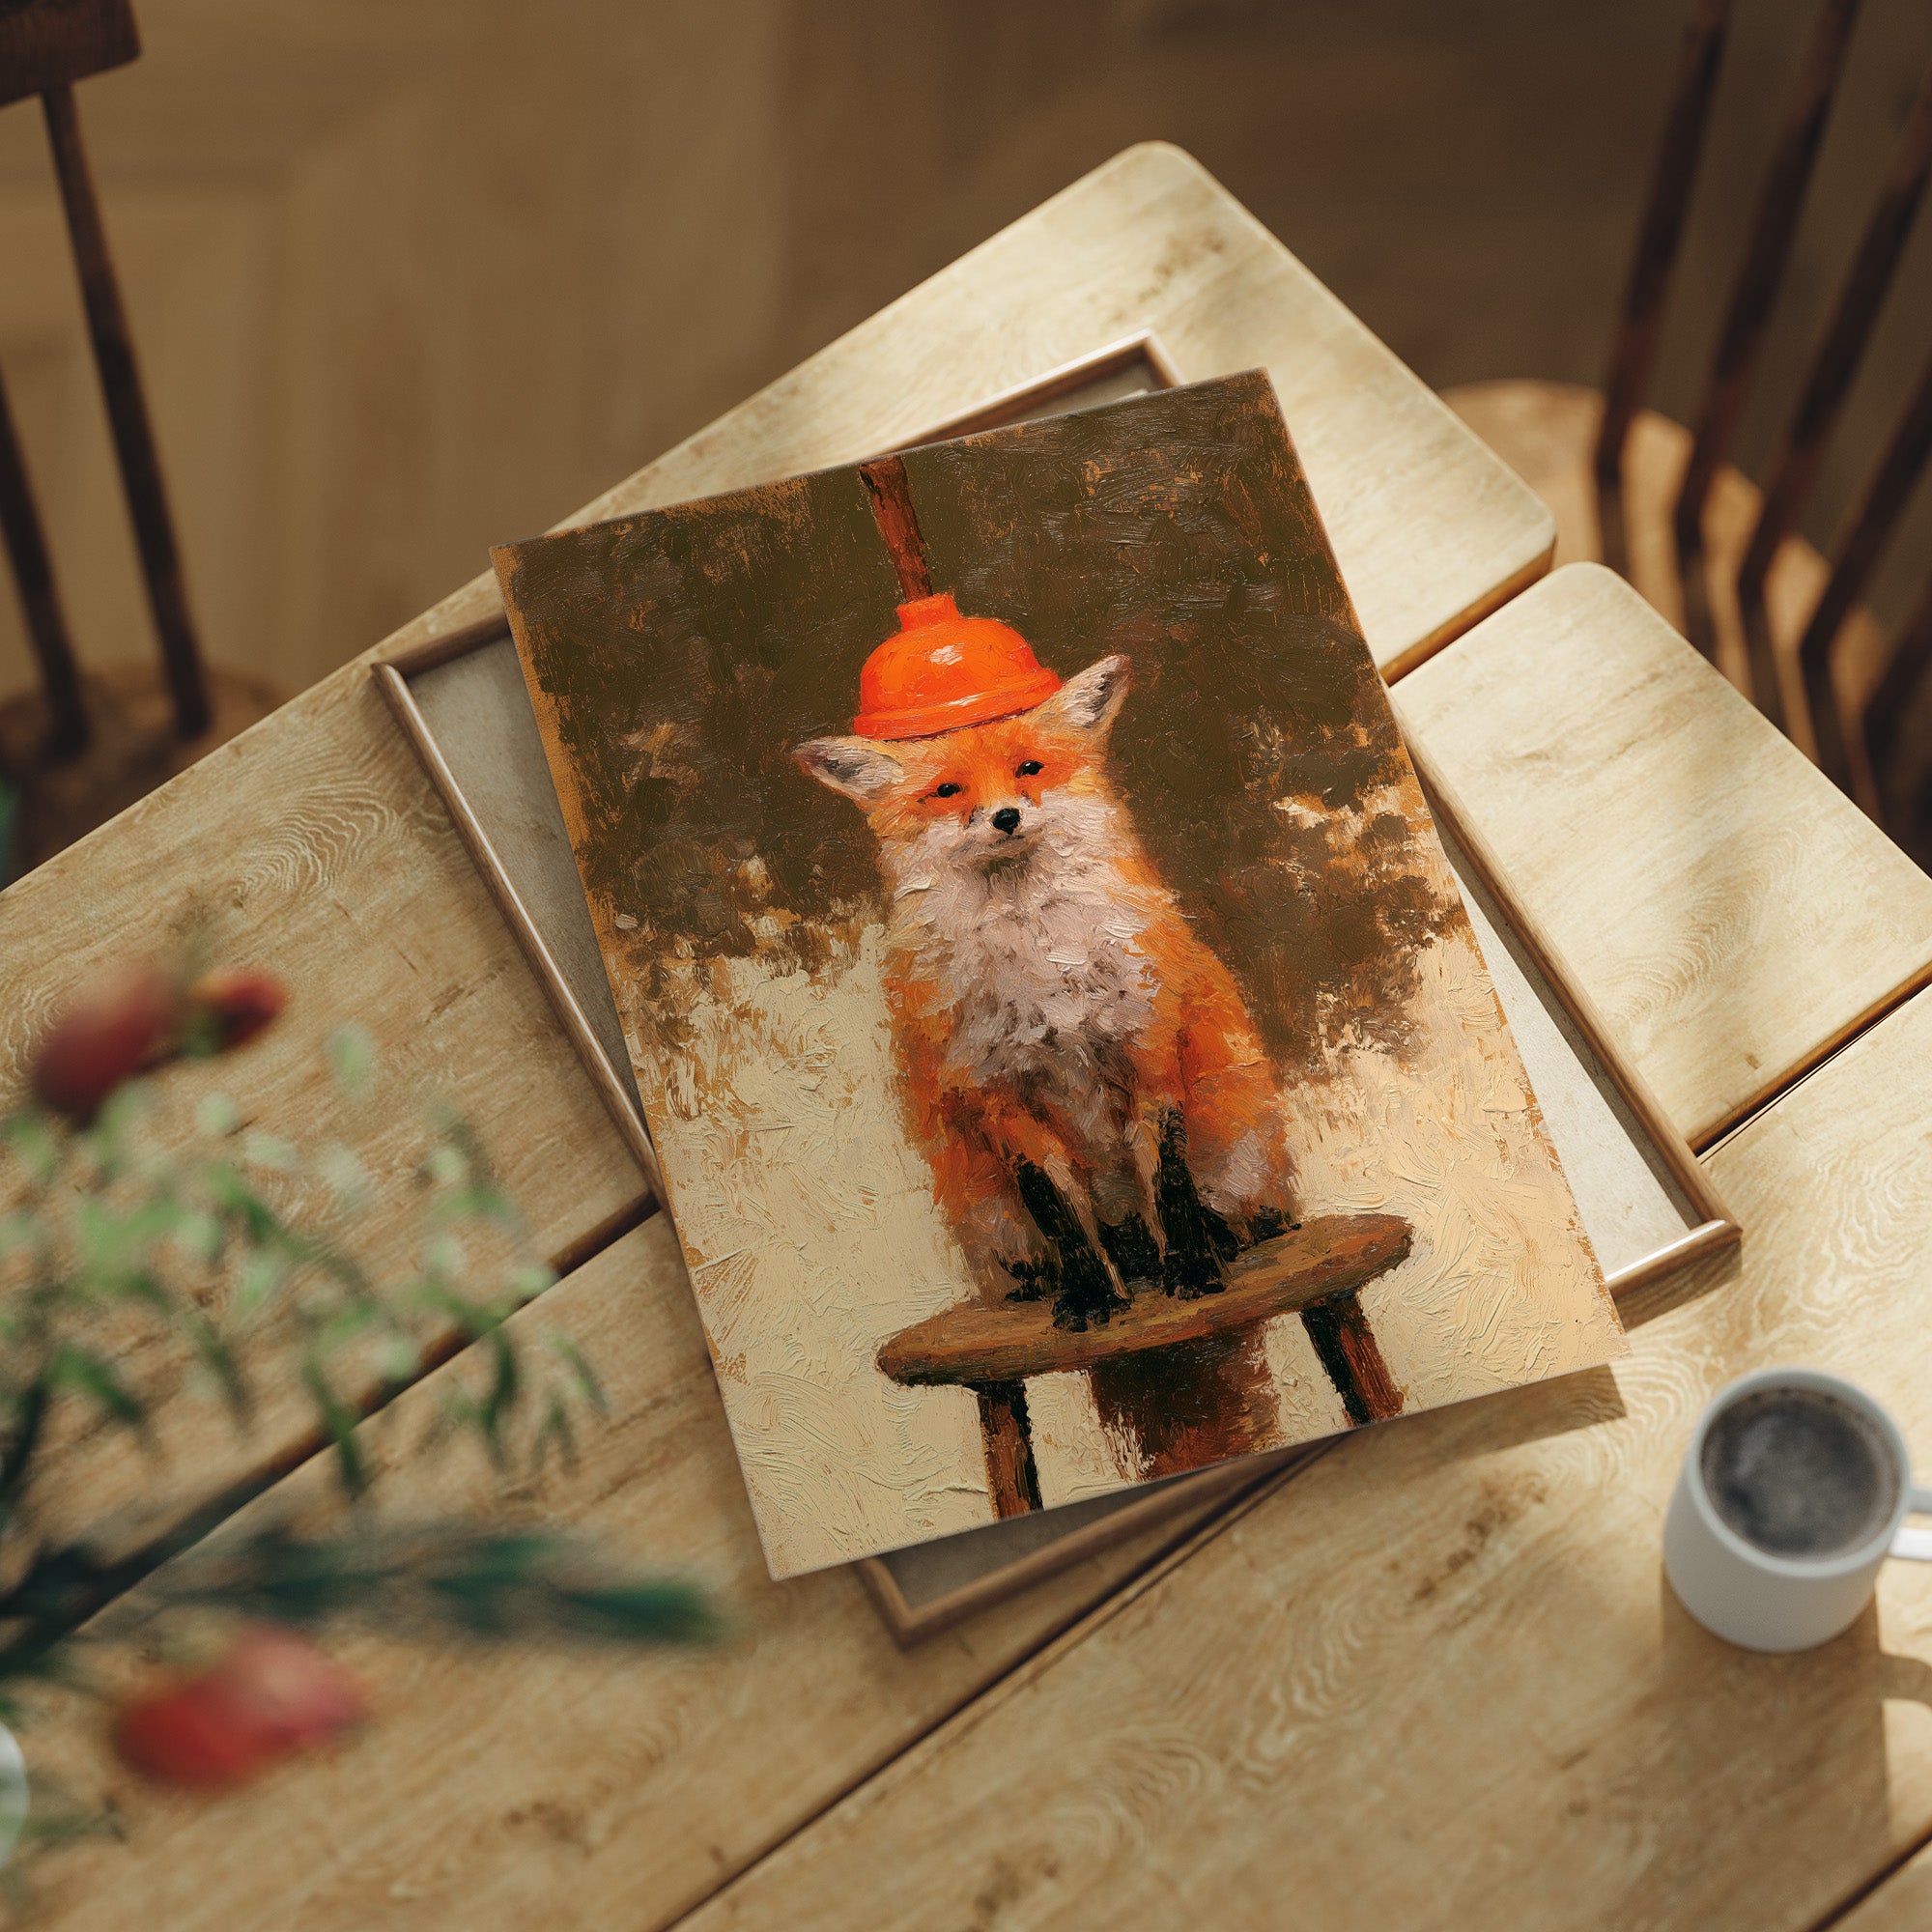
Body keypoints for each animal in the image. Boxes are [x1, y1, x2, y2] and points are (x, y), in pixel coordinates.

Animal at [795, 653, 1298, 1330]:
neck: (1041, 968)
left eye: (1029, 768)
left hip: (1240, 1146)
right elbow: (1057, 1211)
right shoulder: (995, 1096)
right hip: (990, 1217)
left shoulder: (1148, 1056)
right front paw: (1090, 1297)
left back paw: (1216, 1242)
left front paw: (1193, 1271)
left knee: (1236, 1212)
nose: (1006, 817)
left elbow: (1170, 1182)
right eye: (948, 791)